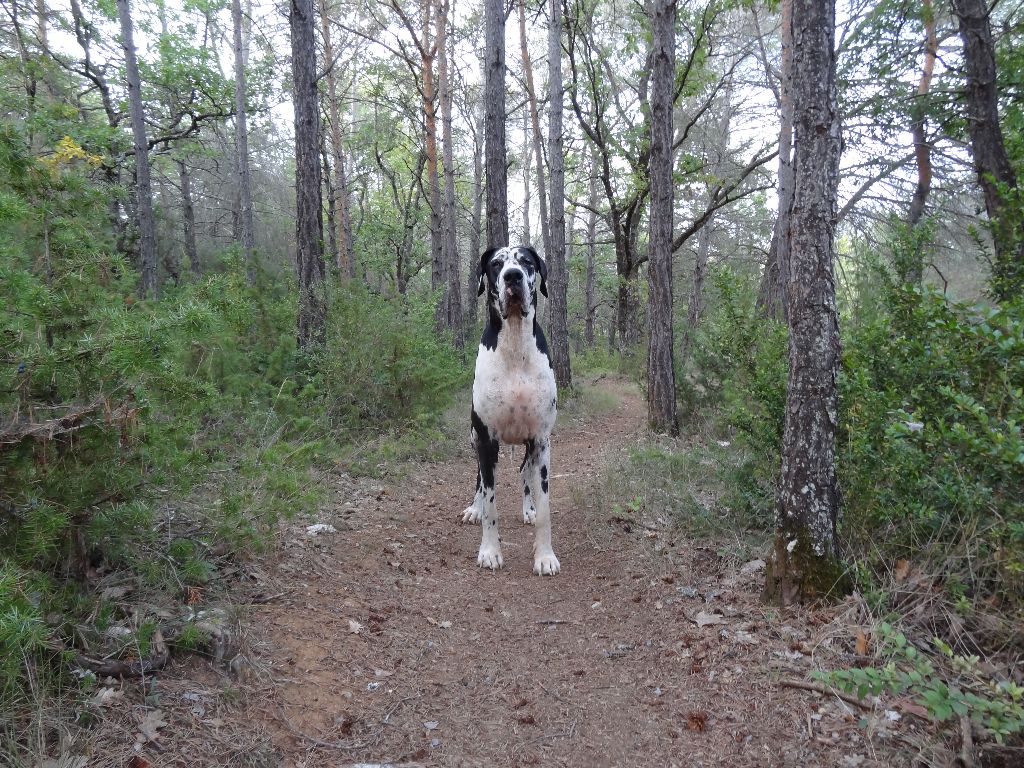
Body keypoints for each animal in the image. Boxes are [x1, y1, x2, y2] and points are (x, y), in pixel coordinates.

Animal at [464, 246, 561, 577]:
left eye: (527, 263)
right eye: (496, 264)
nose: (513, 276)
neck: (516, 344)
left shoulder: (542, 441)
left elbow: (545, 506)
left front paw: (544, 556)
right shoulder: (486, 439)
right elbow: (491, 502)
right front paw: (490, 552)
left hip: (529, 446)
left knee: (524, 474)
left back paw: (527, 508)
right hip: (474, 439)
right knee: (479, 479)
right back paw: (474, 508)